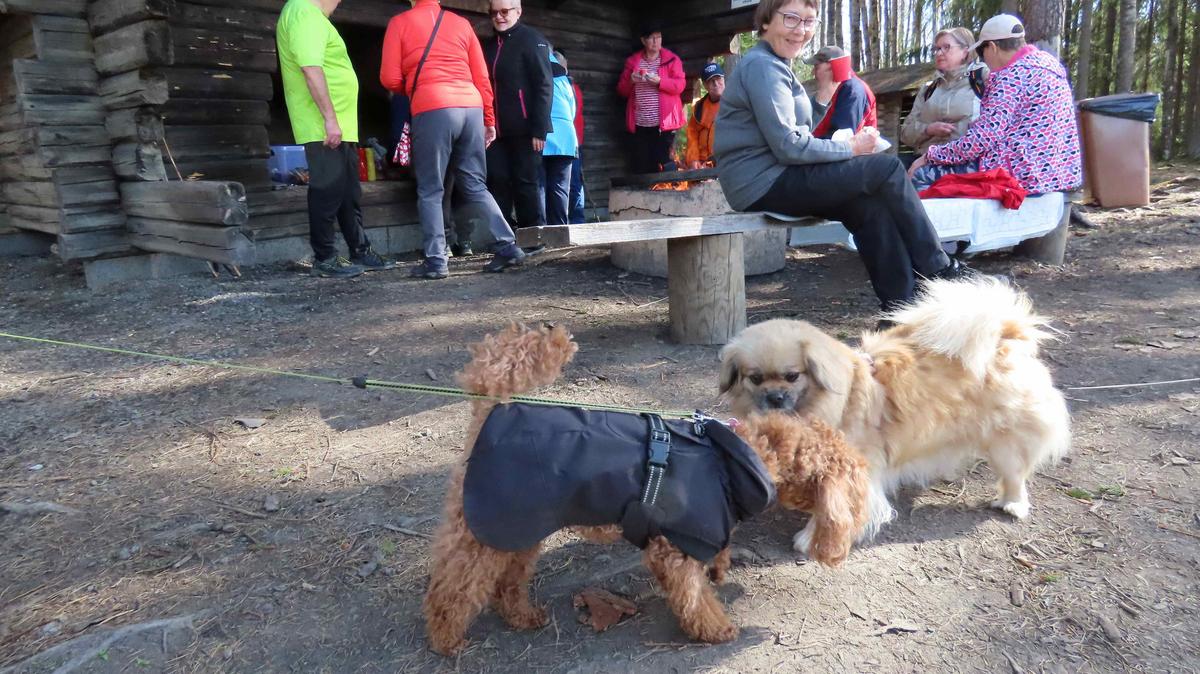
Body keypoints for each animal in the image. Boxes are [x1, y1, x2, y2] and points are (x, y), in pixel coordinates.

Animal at [423, 323, 870, 655]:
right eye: (852, 477)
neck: (739, 457)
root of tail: (489, 407)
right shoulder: (674, 549)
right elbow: (694, 598)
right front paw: (717, 630)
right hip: (484, 529)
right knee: (452, 589)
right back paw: (446, 638)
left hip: (518, 528)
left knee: (507, 580)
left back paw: (521, 616)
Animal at [719, 277, 1071, 554]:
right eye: (755, 379)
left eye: (792, 376)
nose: (774, 397)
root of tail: (1006, 335)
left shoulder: (852, 471)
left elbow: (835, 508)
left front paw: (812, 537)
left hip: (1004, 444)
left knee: (1015, 475)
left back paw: (1013, 504)